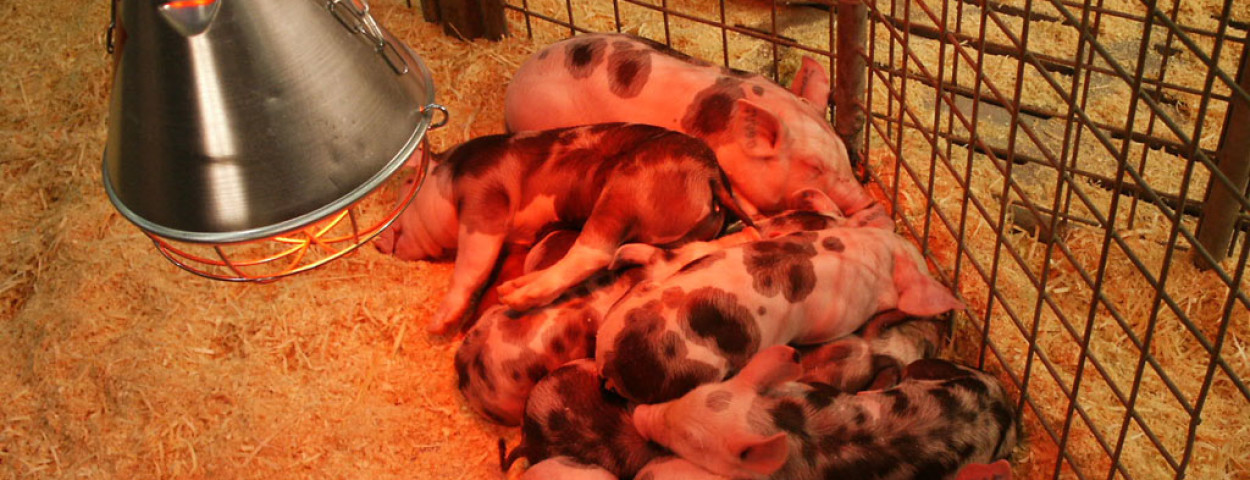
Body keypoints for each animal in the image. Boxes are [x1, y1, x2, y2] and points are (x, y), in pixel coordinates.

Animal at [374, 123, 753, 333]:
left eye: (404, 185)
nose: (377, 243)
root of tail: (711, 174)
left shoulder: (485, 194)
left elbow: (473, 262)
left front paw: (438, 325)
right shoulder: (517, 243)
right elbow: (495, 272)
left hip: (626, 187)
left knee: (594, 251)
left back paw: (519, 295)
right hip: (685, 230)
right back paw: (513, 289)